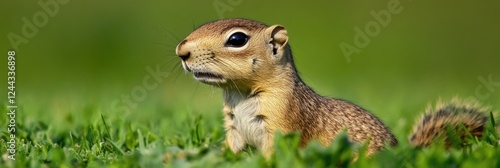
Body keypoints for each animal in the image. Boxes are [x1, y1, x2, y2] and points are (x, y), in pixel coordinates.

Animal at [174, 18, 494, 159]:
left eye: (237, 39)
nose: (181, 51)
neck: (241, 95)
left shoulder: (283, 123)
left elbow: (275, 154)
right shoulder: (234, 128)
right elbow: (231, 150)